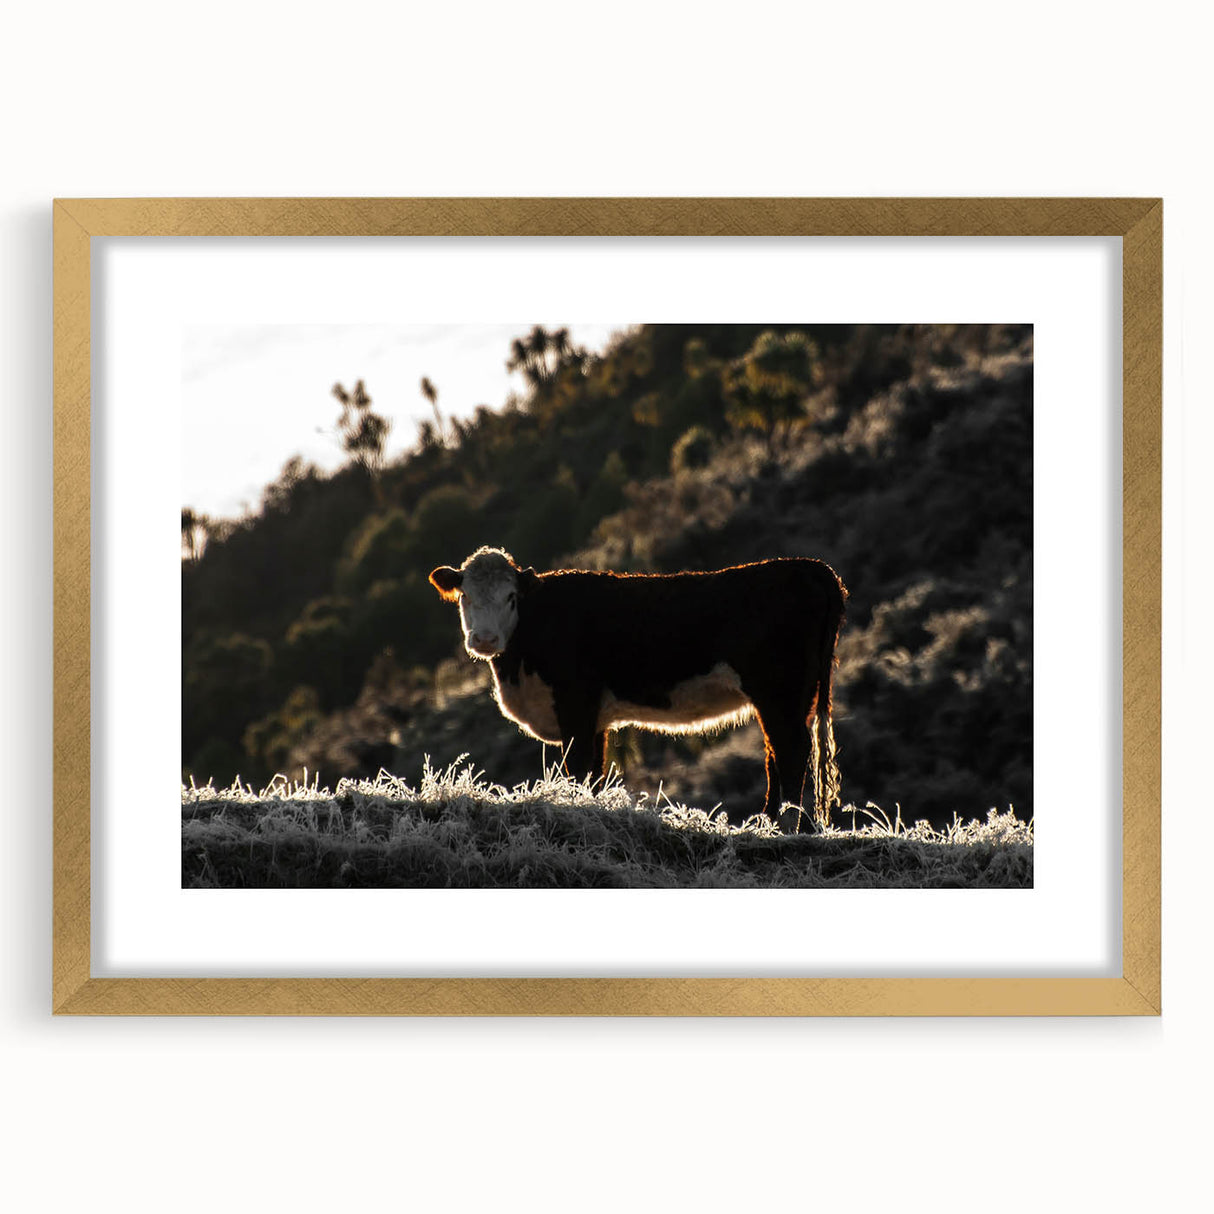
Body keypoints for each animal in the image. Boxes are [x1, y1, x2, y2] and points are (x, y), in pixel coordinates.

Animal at [428, 547, 847, 829]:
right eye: (465, 596)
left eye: (511, 597)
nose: (484, 639)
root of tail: (808, 566)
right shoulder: (595, 719)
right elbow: (595, 773)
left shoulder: (575, 705)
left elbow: (578, 768)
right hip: (790, 697)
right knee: (778, 752)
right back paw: (768, 824)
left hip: (779, 691)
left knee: (791, 751)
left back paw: (785, 826)